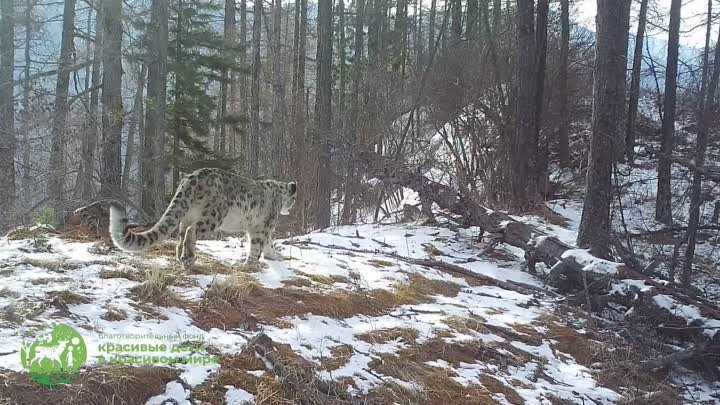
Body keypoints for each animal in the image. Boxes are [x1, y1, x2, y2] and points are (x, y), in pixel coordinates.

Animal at [109, 167, 296, 268]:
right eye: (294, 199)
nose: (291, 208)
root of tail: (191, 177)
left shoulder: (257, 228)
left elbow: (267, 244)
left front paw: (275, 256)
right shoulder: (263, 227)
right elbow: (258, 245)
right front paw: (252, 264)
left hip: (187, 215)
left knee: (181, 236)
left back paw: (180, 256)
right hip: (213, 216)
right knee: (192, 231)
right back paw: (189, 257)